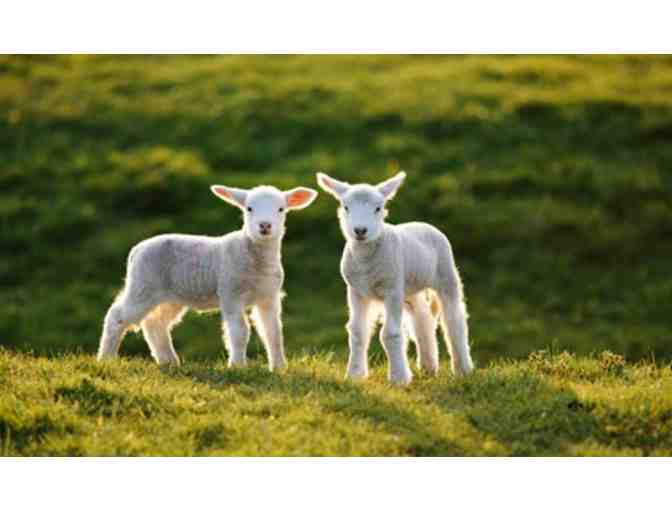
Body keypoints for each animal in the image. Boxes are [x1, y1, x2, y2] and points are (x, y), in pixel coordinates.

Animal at [97, 183, 320, 370]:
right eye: (249, 208)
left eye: (281, 209)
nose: (265, 226)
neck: (255, 260)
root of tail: (136, 250)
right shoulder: (230, 292)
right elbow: (239, 332)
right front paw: (237, 366)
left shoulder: (269, 296)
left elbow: (273, 333)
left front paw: (279, 368)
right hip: (144, 284)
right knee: (117, 316)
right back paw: (106, 358)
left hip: (170, 296)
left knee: (155, 324)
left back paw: (169, 361)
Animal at [318, 169, 476, 384]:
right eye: (346, 207)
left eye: (378, 208)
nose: (360, 231)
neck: (366, 261)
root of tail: (423, 223)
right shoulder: (356, 291)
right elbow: (357, 332)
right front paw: (354, 375)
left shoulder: (391, 289)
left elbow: (391, 334)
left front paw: (398, 377)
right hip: (409, 288)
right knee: (422, 318)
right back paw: (428, 366)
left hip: (446, 274)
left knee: (454, 320)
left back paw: (463, 369)